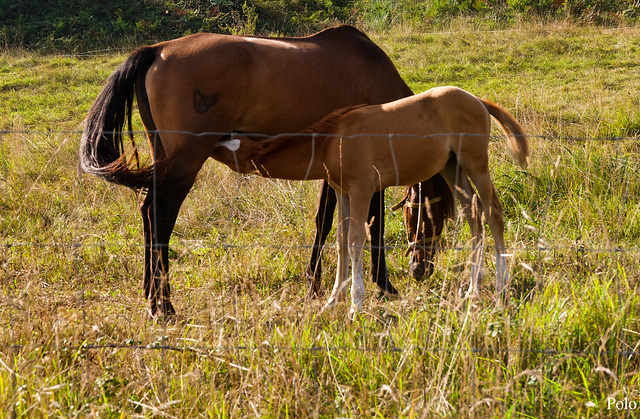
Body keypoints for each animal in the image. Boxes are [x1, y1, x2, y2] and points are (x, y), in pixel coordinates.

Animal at [79, 24, 450, 316]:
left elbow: (325, 222)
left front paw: (314, 285)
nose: (422, 269)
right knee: (160, 217)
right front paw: (384, 286)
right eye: (435, 216)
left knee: (147, 213)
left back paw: (152, 295)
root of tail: (157, 51)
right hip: (184, 164)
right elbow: (373, 225)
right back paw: (164, 305)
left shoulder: (335, 171)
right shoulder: (368, 173)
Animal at [212, 88, 528, 318]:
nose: (212, 142)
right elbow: (340, 240)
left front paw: (356, 304)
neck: (331, 141)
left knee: (493, 212)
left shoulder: (362, 189)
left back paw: (501, 284)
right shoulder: (342, 192)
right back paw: (473, 288)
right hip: (453, 168)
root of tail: (477, 100)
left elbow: (355, 241)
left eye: (230, 146)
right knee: (473, 213)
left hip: (475, 163)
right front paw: (332, 300)